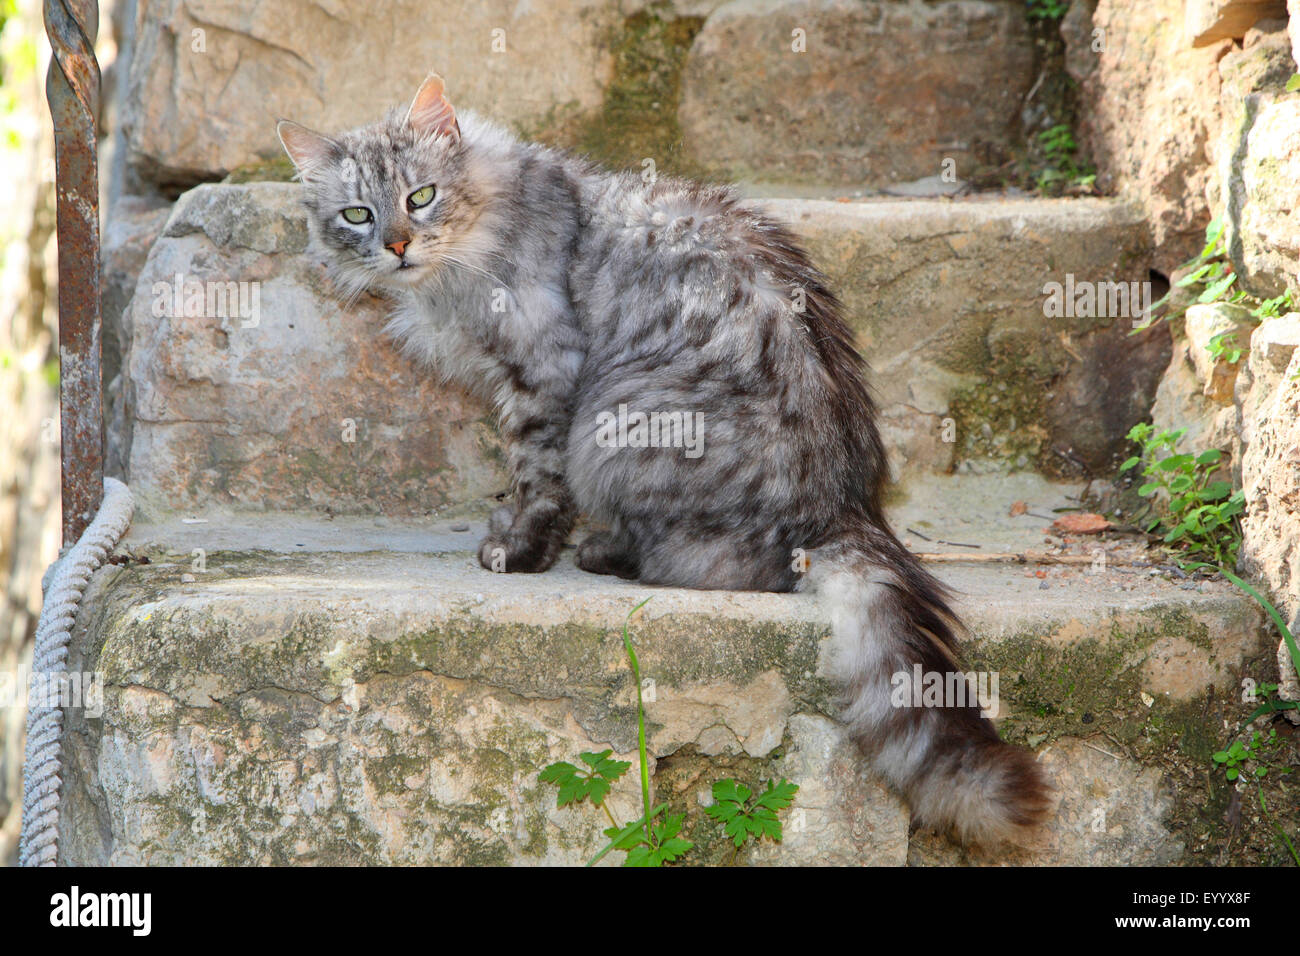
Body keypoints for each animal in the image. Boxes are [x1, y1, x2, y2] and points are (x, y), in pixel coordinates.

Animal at [279, 72, 1050, 842]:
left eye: (421, 196)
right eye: (357, 214)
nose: (398, 245)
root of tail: (842, 506)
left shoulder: (546, 373)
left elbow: (536, 478)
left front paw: (521, 548)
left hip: (615, 429)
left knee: (717, 566)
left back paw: (608, 554)